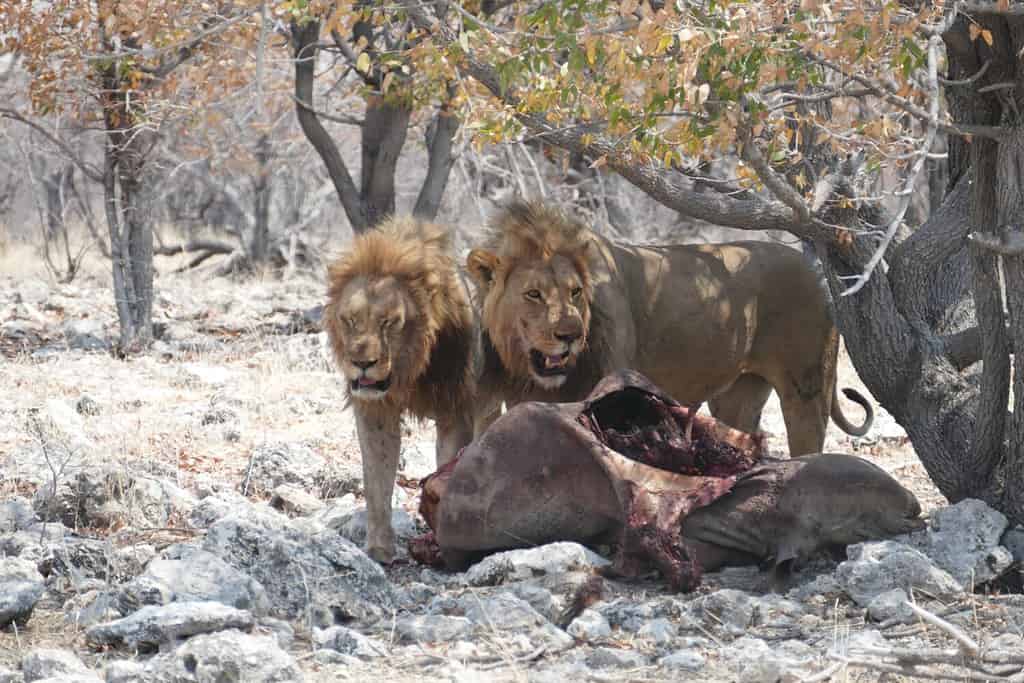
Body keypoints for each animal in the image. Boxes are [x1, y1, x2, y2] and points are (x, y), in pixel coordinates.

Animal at [323, 216, 475, 565]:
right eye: (350, 320)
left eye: (389, 322)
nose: (362, 363)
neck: (410, 371)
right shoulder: (375, 411)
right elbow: (377, 481)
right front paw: (379, 549)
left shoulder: (455, 410)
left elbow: (449, 465)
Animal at [468, 202, 876, 458]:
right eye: (533, 294)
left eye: (575, 292)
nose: (569, 335)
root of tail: (818, 275)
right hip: (737, 397)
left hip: (806, 386)